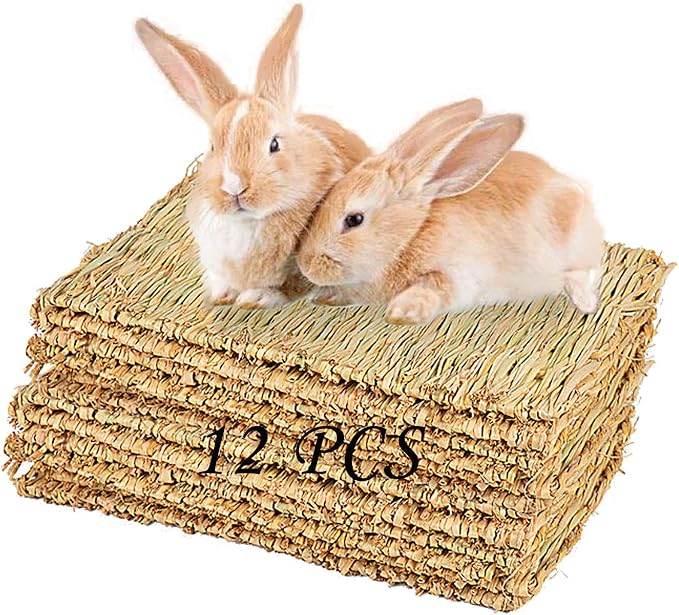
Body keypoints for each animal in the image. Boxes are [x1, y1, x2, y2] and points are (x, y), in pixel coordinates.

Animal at [135, 5, 370, 309]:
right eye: (213, 147)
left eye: (274, 144)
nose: (234, 187)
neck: (249, 223)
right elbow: (219, 279)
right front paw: (221, 296)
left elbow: (289, 287)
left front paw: (253, 298)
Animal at [297, 98, 604, 325]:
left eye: (354, 220)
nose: (306, 265)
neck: (410, 236)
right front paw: (326, 298)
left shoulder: (457, 274)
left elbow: (433, 287)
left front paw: (403, 312)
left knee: (578, 272)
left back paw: (586, 303)